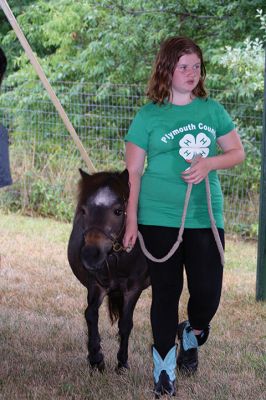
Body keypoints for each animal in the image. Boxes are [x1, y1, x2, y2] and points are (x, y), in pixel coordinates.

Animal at [67, 169, 150, 372]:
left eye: (118, 211)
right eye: (84, 210)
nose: (90, 255)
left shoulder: (133, 289)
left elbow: (126, 323)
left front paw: (122, 363)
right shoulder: (96, 285)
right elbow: (90, 315)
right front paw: (96, 358)